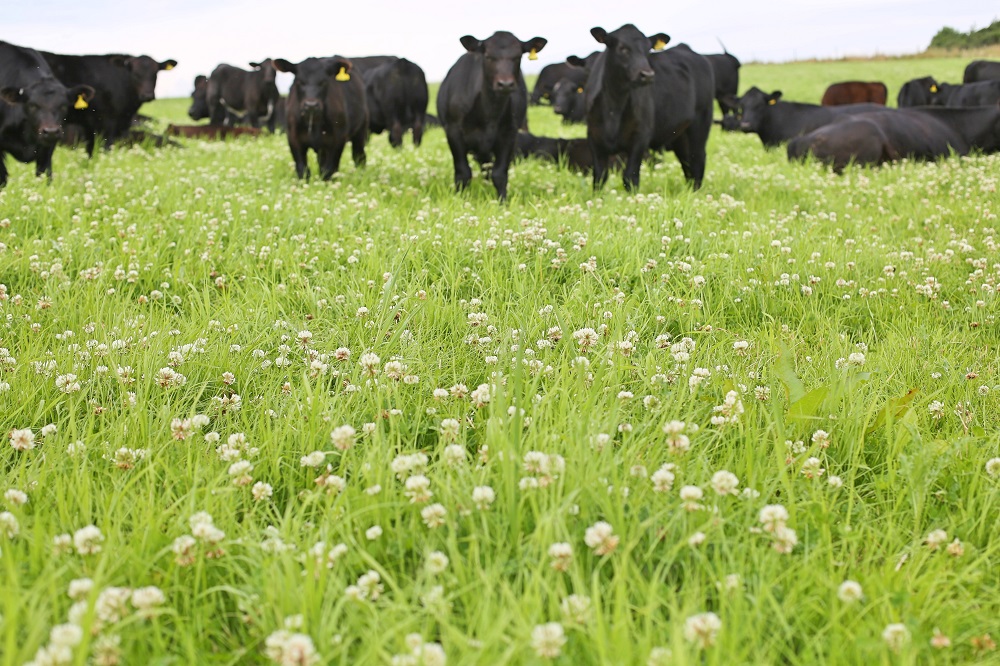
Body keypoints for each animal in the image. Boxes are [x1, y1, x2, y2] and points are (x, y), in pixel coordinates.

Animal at [437, 31, 547, 201]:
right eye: (488, 56)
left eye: (518, 56)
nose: (505, 84)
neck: (489, 113)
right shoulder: (453, 132)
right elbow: (463, 172)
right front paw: (459, 199)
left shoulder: (509, 134)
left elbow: (499, 174)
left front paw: (503, 202)